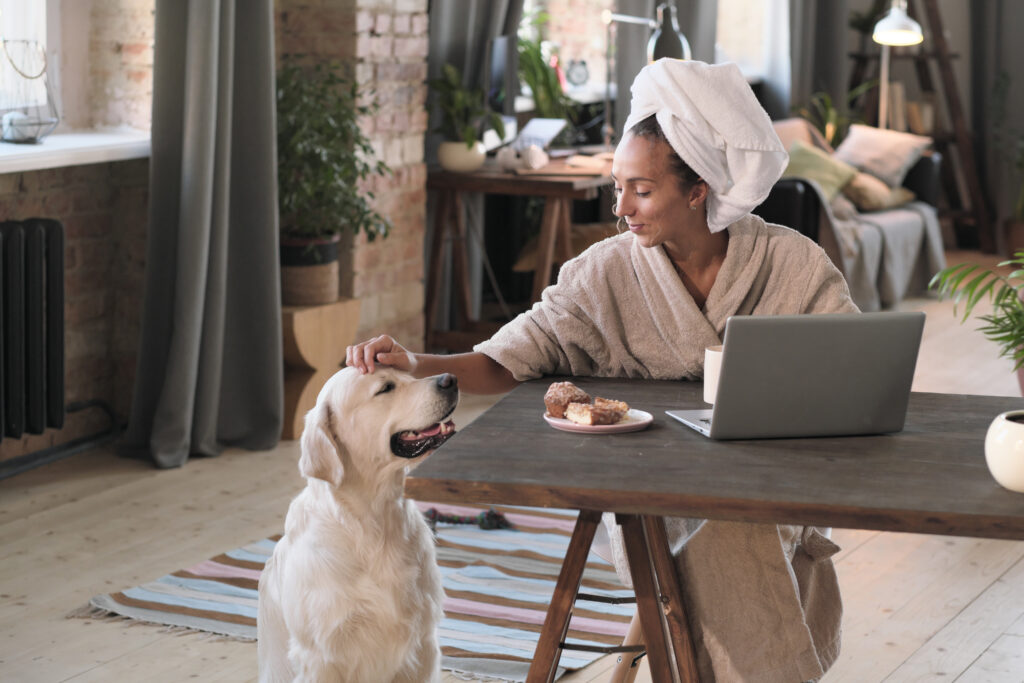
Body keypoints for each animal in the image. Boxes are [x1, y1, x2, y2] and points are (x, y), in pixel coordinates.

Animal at [258, 368, 458, 683]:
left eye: (409, 373)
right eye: (386, 387)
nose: (450, 379)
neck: (373, 524)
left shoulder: (423, 643)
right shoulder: (321, 657)